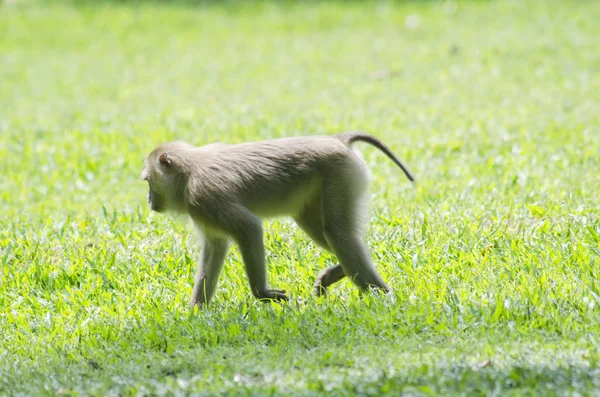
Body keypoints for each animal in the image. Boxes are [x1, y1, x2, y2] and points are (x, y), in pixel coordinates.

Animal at [140, 132, 412, 306]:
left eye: (148, 181)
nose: (149, 199)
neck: (187, 173)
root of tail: (338, 140)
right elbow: (215, 247)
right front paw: (196, 311)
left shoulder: (204, 196)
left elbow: (249, 229)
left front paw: (261, 293)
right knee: (321, 228)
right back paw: (341, 272)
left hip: (340, 174)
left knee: (337, 232)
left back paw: (383, 296)